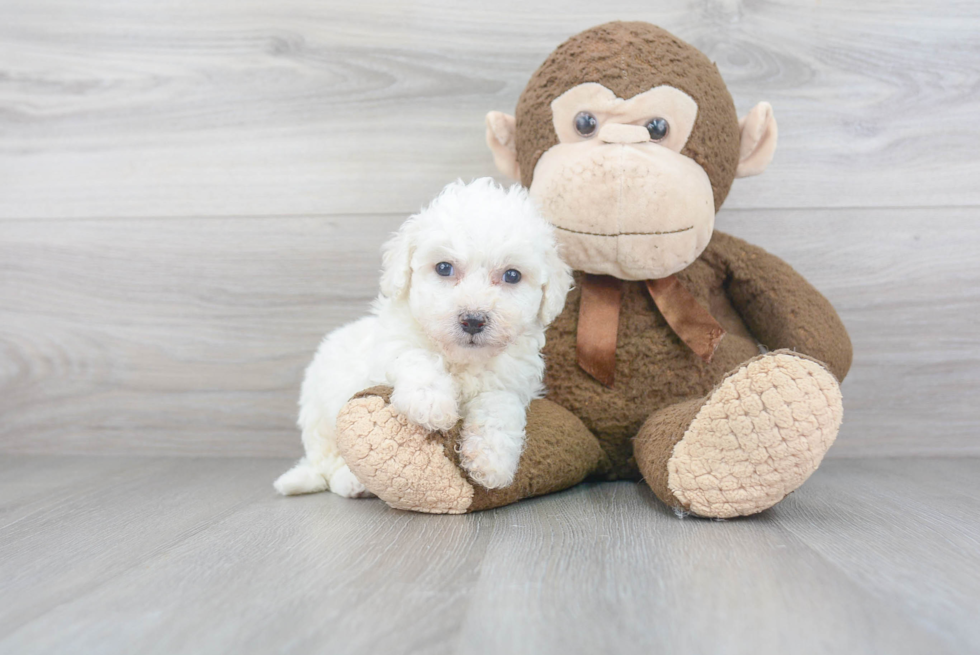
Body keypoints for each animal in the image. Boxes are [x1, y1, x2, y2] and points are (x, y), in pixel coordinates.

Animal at [272, 179, 576, 498]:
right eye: (444, 268)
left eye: (512, 275)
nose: (473, 320)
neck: (460, 359)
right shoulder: (390, 346)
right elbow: (414, 356)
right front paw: (430, 401)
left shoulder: (511, 382)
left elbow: (499, 406)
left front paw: (492, 460)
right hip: (318, 413)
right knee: (327, 464)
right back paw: (351, 481)